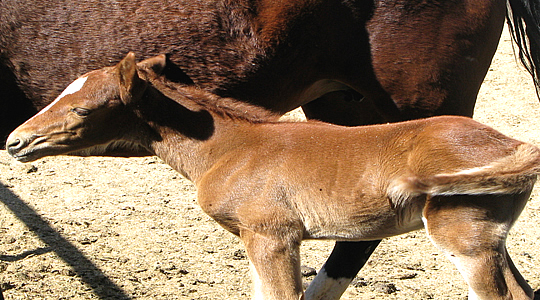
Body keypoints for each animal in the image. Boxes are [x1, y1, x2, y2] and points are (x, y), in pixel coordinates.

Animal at [3, 0, 540, 296]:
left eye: (81, 110)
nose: (16, 141)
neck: (233, 147)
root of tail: (513, 144)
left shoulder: (273, 236)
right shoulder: (255, 239)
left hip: (463, 237)